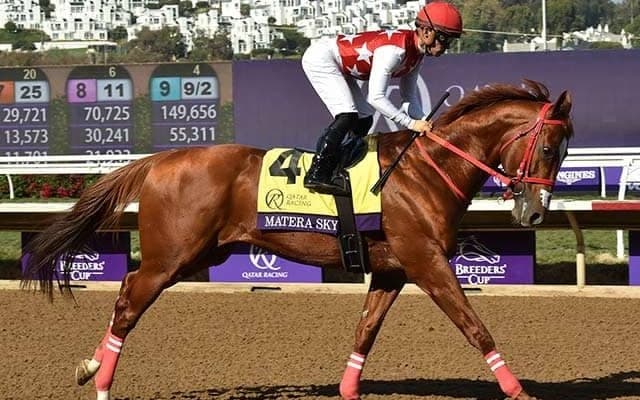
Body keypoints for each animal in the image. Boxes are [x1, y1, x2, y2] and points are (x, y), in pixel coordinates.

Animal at [22, 79, 573, 400]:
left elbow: (365, 331)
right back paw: (101, 379)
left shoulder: (392, 268)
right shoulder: (426, 261)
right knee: (129, 300)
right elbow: (475, 326)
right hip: (172, 256)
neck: (423, 171)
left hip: (198, 252)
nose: (534, 211)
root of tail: (161, 159)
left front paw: (348, 390)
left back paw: (92, 367)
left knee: (126, 291)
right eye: (548, 147)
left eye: (565, 151)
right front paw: (518, 391)